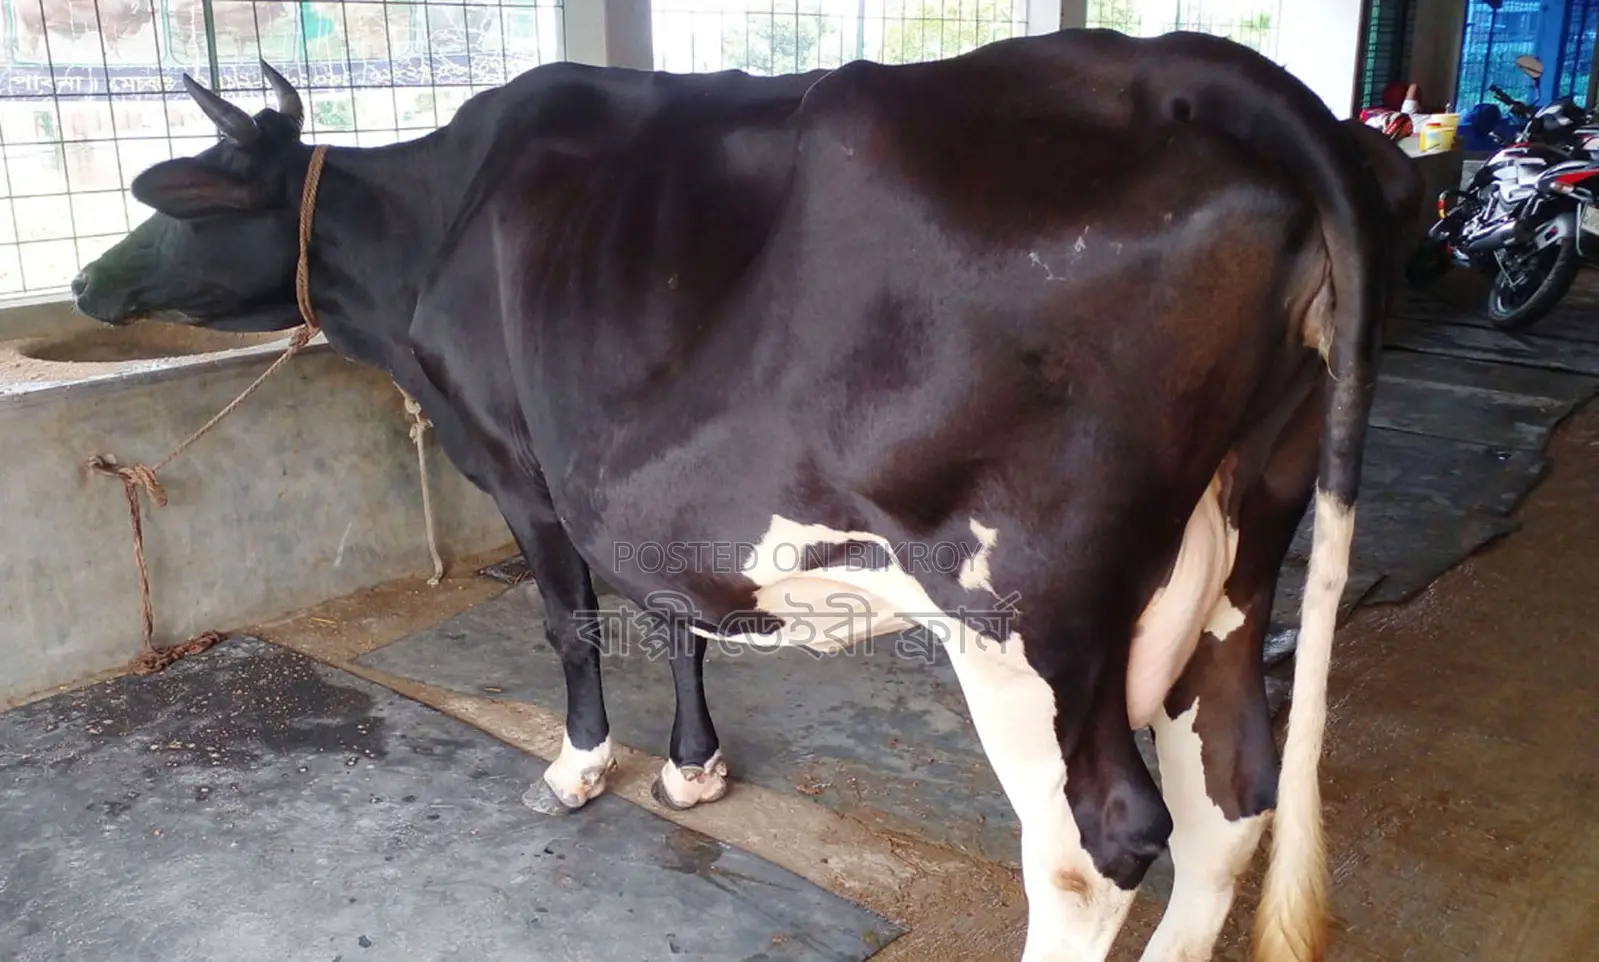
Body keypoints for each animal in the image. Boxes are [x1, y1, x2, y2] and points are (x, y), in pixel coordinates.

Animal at [68, 30, 1421, 962]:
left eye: (181, 202)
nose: (82, 281)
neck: (429, 230)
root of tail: (1197, 72)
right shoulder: (659, 498)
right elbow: (679, 617)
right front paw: (695, 766)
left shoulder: (518, 463)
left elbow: (572, 621)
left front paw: (580, 766)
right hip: (1245, 544)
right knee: (1230, 788)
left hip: (1025, 608)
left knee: (1096, 848)